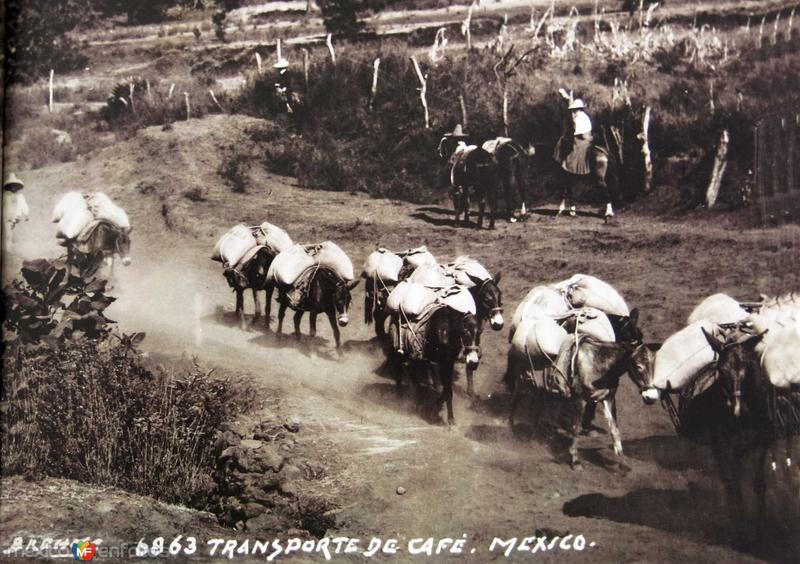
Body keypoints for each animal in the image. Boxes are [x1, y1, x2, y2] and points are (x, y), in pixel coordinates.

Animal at [506, 338, 656, 470]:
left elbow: (615, 431)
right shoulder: (580, 399)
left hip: (541, 387)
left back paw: (534, 437)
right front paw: (575, 461)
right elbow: (576, 428)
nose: (651, 397)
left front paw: (623, 463)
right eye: (638, 366)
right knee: (513, 401)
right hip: (521, 380)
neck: (598, 364)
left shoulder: (608, 399)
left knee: (537, 407)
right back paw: (511, 432)